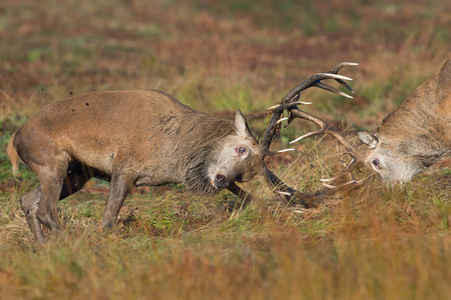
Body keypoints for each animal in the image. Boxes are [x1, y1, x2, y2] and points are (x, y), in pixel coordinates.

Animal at [8, 62, 358, 243]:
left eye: (250, 171)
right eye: (240, 148)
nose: (220, 178)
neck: (175, 158)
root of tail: (14, 139)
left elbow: (252, 200)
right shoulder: (125, 164)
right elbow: (108, 219)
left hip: (77, 172)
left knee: (28, 201)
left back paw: (43, 248)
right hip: (52, 159)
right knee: (45, 208)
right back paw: (69, 241)